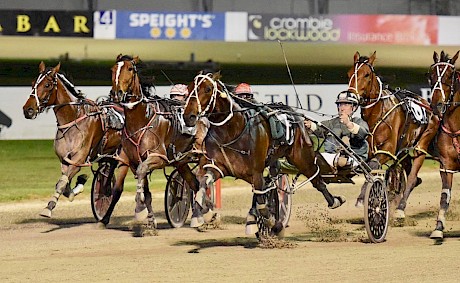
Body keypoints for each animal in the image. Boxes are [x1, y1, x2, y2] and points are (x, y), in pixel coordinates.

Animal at [22, 61, 129, 224]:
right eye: (33, 83)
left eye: (47, 85)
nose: (27, 109)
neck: (74, 120)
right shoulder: (65, 160)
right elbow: (64, 183)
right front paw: (78, 185)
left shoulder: (78, 159)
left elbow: (61, 183)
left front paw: (48, 208)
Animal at [112, 55, 200, 235]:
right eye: (113, 69)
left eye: (130, 69)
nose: (117, 93)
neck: (141, 120)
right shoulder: (135, 161)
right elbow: (146, 189)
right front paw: (150, 223)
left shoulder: (158, 157)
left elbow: (142, 175)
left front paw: (139, 211)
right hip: (181, 162)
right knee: (195, 184)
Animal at [182, 72, 344, 237]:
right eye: (189, 89)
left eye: (208, 89)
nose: (189, 116)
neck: (232, 130)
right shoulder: (218, 167)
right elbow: (202, 185)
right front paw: (204, 215)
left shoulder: (256, 171)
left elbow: (262, 204)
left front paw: (273, 224)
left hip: (301, 156)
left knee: (316, 178)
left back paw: (334, 201)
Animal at [348, 51, 438, 220]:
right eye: (349, 73)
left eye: (366, 74)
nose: (351, 96)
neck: (378, 112)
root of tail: (428, 104)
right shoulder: (372, 151)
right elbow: (369, 166)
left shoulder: (388, 150)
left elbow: (374, 166)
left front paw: (363, 198)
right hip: (404, 151)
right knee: (411, 175)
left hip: (421, 145)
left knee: (412, 177)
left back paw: (400, 208)